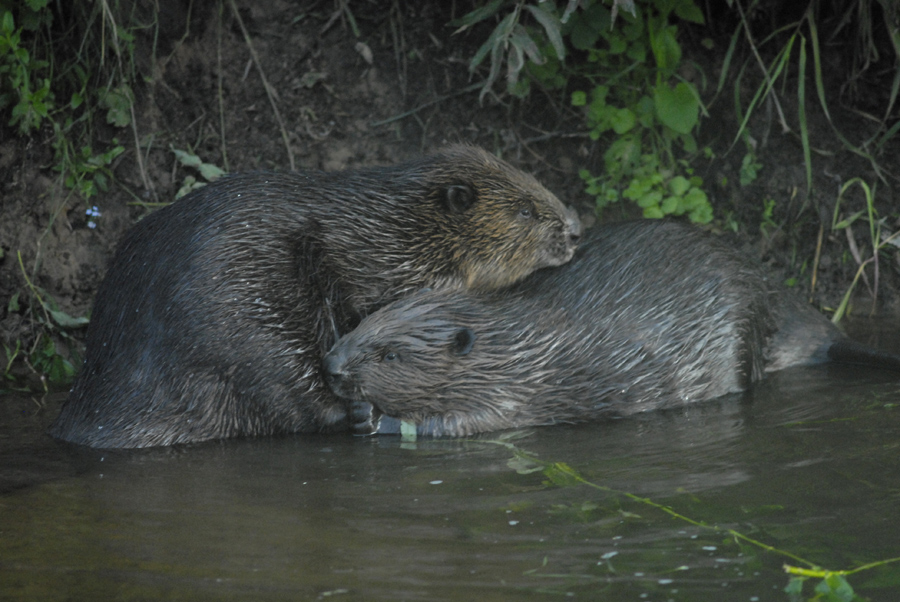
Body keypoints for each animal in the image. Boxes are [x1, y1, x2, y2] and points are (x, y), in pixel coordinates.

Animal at [324, 218, 900, 434]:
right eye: (364, 324)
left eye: (390, 354)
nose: (330, 365)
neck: (514, 340)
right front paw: (357, 412)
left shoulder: (519, 390)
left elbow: (467, 423)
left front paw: (380, 420)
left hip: (740, 333)